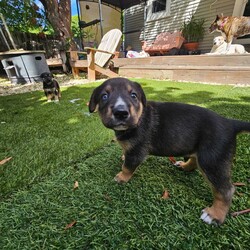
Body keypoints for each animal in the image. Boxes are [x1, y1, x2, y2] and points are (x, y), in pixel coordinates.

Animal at [89, 77, 250, 225]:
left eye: (133, 95)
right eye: (104, 96)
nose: (121, 113)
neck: (139, 117)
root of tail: (231, 123)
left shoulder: (136, 152)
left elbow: (127, 167)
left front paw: (121, 177)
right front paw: (123, 156)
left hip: (212, 161)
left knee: (226, 190)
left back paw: (215, 215)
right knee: (194, 161)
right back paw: (184, 166)